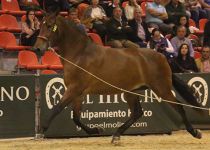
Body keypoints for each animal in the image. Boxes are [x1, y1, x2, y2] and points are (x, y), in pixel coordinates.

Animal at [33, 12, 203, 144]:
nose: (37, 48)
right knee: (137, 113)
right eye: (40, 26)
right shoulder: (77, 93)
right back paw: (116, 135)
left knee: (178, 106)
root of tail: (162, 56)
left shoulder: (74, 89)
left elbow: (57, 109)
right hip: (131, 92)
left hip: (161, 89)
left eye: (49, 26)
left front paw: (42, 130)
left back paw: (195, 132)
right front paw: (96, 130)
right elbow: (75, 118)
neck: (80, 54)